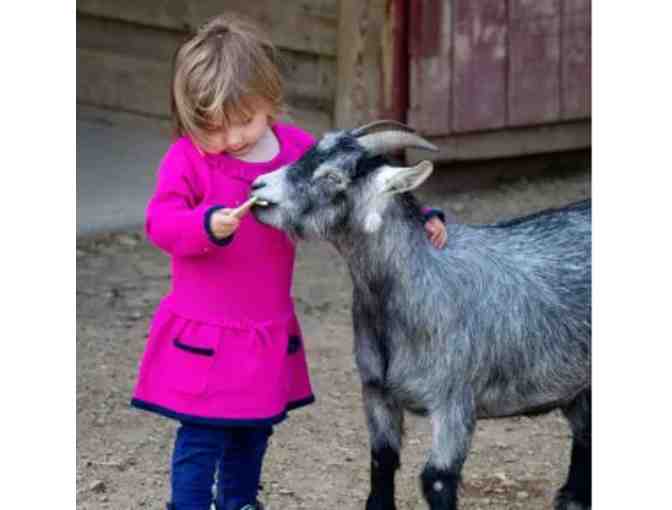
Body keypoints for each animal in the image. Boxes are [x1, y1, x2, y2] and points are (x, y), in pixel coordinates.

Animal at [249, 121, 592, 508]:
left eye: (333, 177)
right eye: (309, 152)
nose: (258, 186)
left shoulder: (454, 400)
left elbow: (437, 479)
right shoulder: (376, 392)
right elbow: (382, 459)